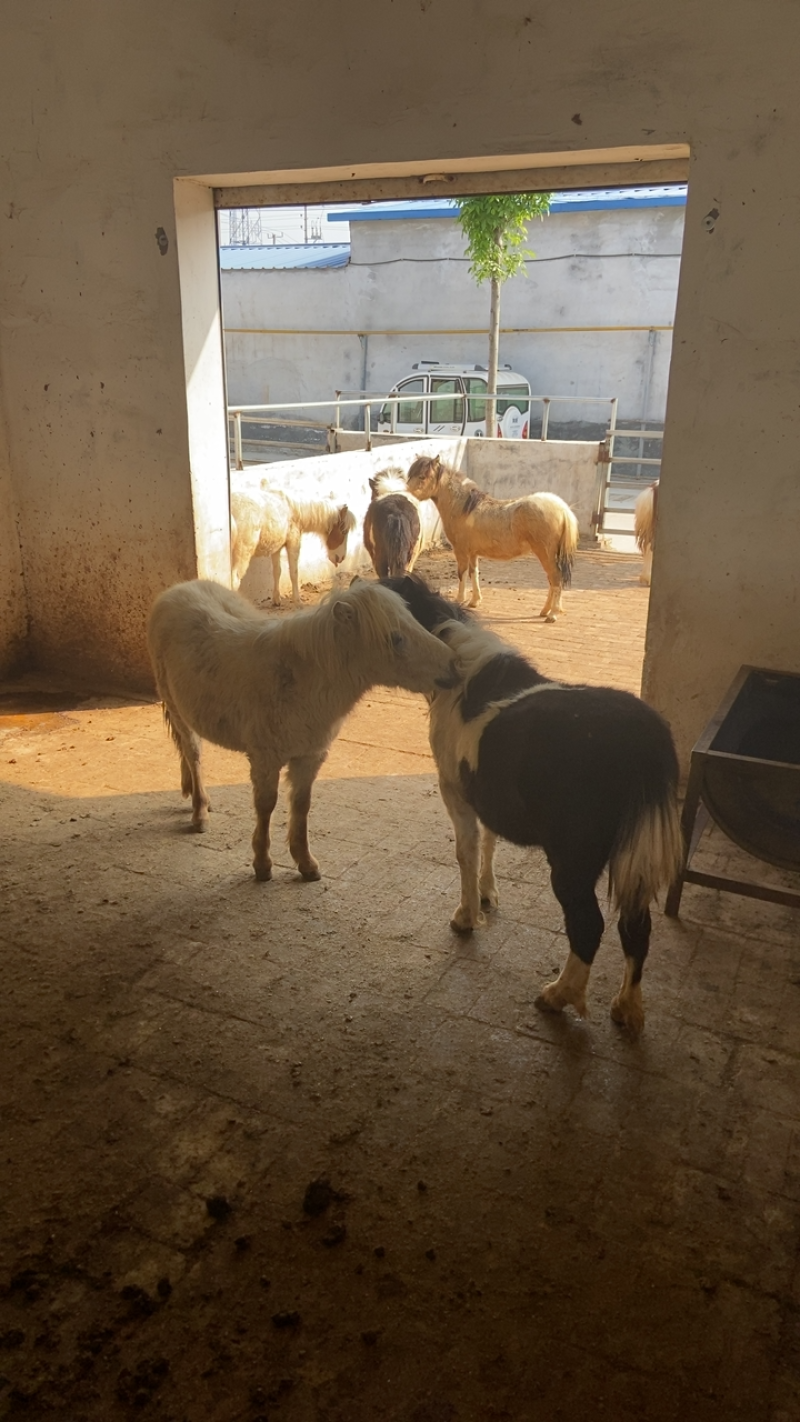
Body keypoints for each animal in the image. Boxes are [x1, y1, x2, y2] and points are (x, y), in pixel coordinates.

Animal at [147, 578, 456, 884]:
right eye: (396, 638)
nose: (453, 667)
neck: (300, 681)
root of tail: (178, 590)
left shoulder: (309, 757)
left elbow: (301, 805)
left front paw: (306, 863)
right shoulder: (265, 759)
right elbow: (266, 805)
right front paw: (262, 864)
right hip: (177, 710)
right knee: (193, 755)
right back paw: (199, 812)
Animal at [381, 574, 682, 1036]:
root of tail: (642, 736)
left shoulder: (455, 791)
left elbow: (466, 851)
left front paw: (467, 915)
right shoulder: (484, 792)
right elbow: (489, 841)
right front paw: (488, 894)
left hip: (574, 861)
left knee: (588, 925)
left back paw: (558, 996)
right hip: (633, 856)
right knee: (636, 925)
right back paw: (627, 1008)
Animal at [405, 454, 579, 622]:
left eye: (422, 476)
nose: (406, 494)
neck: (463, 508)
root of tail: (562, 509)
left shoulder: (461, 551)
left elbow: (462, 574)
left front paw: (460, 600)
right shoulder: (473, 553)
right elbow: (474, 573)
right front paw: (475, 601)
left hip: (545, 554)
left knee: (555, 579)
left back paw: (552, 614)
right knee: (552, 580)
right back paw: (545, 611)